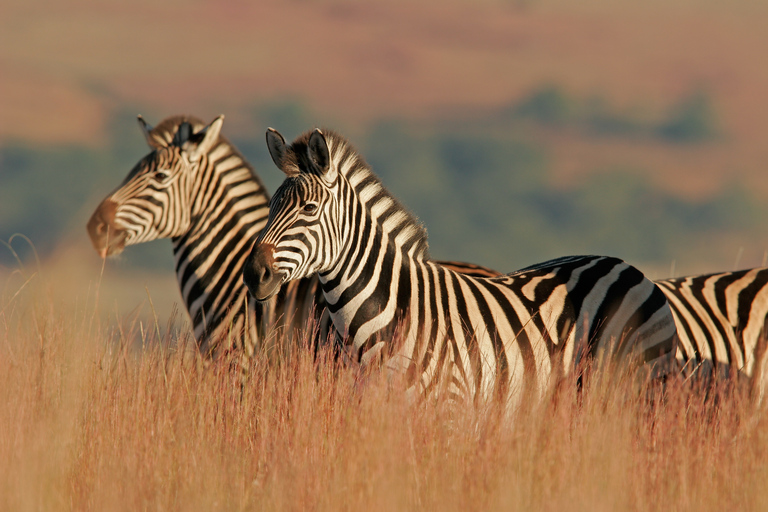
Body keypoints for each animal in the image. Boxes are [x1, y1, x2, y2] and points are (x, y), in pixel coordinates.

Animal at [242, 129, 680, 408]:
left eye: (309, 209)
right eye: (271, 207)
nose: (253, 274)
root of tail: (627, 266)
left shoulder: (449, 409)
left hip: (639, 391)